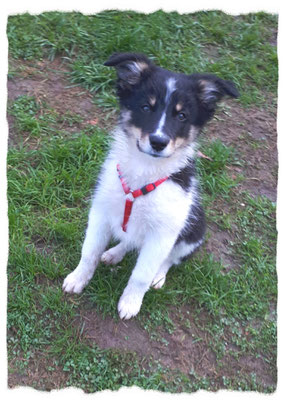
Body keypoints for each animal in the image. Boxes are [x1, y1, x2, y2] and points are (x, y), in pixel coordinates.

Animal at [62, 52, 240, 318]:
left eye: (182, 116)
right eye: (146, 107)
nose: (158, 142)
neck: (144, 168)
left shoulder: (163, 233)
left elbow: (141, 274)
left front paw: (130, 303)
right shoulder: (101, 211)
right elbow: (89, 252)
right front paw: (77, 279)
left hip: (193, 231)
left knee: (170, 259)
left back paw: (158, 276)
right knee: (129, 241)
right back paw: (113, 253)